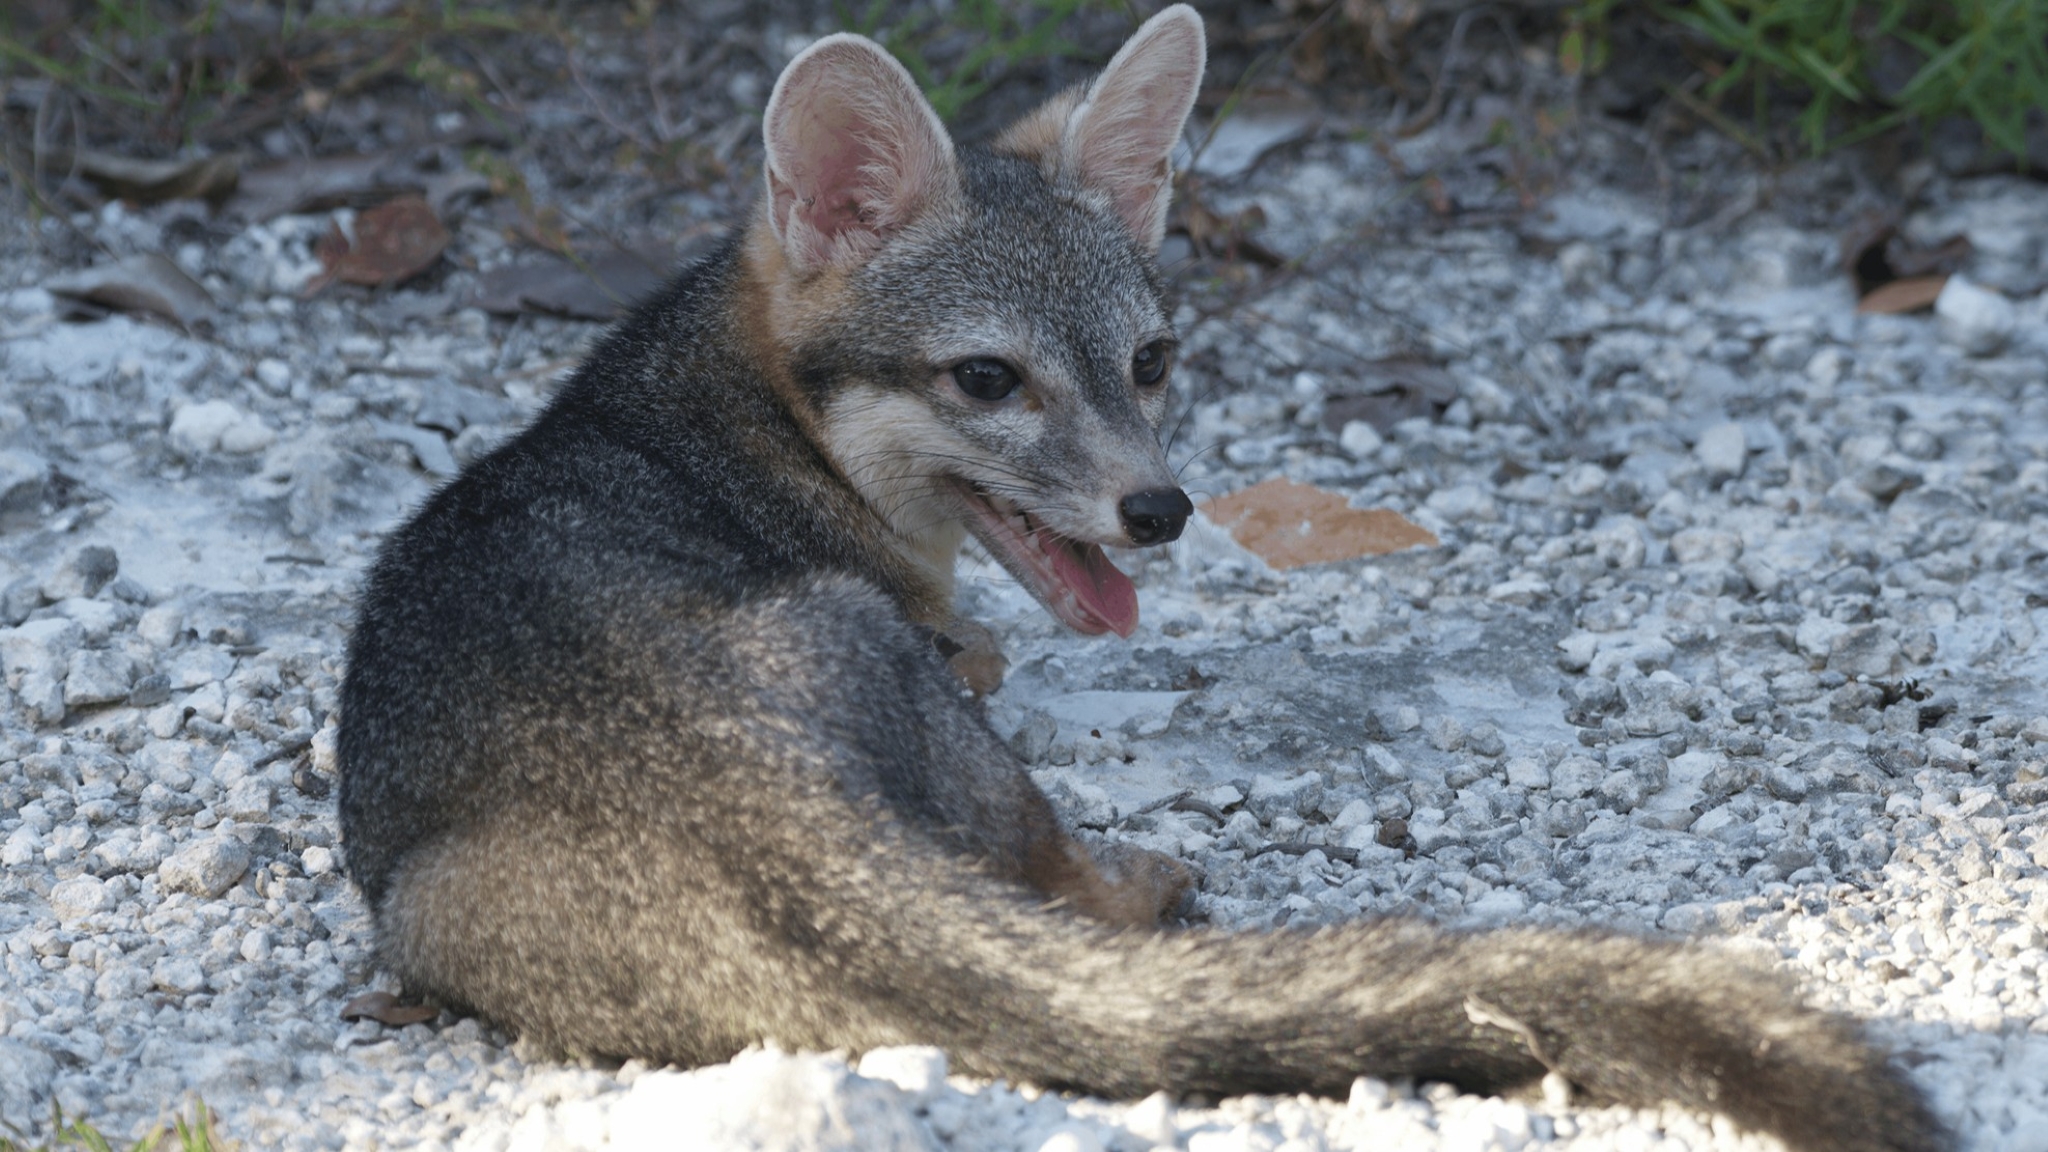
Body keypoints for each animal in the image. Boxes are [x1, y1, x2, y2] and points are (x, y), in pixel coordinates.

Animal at [335, 8, 1946, 1151]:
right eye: (989, 379)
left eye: (1153, 362)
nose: (1160, 510)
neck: (726, 415)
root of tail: (748, 806)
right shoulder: (950, 647)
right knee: (1064, 885)